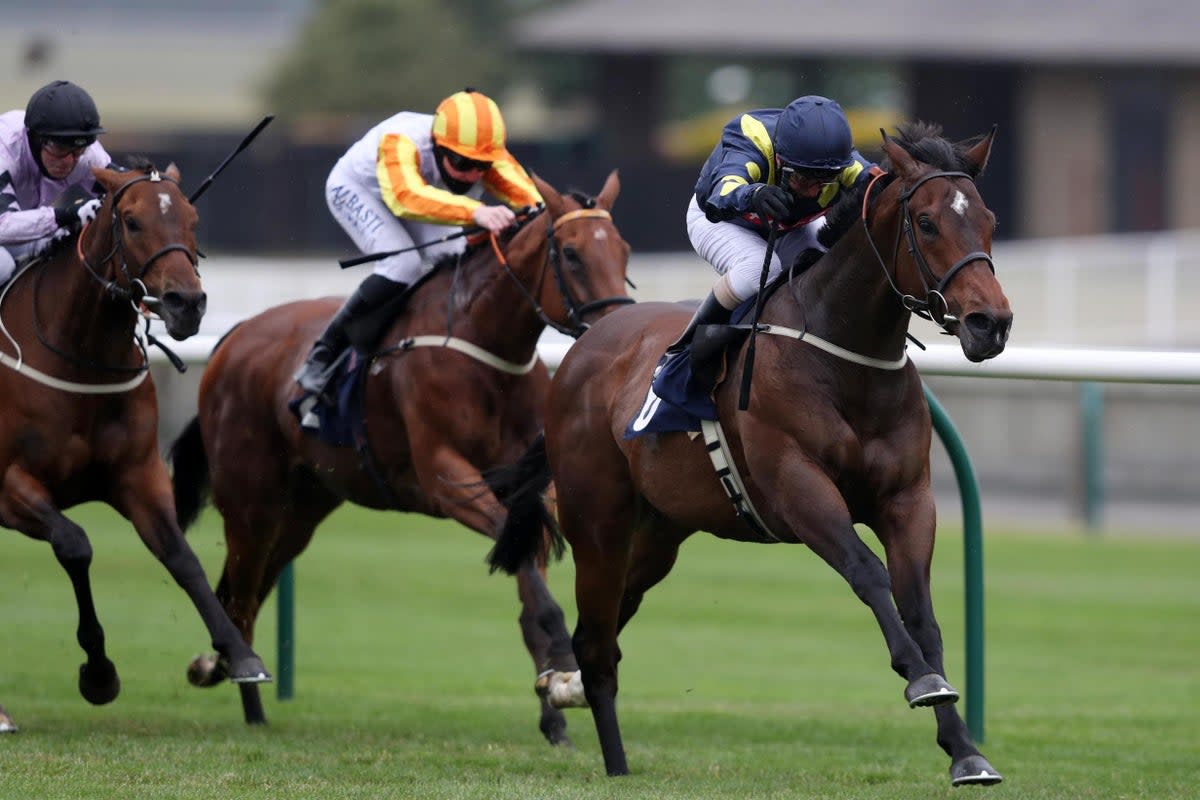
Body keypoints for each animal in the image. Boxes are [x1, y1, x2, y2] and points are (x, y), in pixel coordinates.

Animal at [0, 160, 267, 734]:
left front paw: (240, 656)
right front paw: (99, 674)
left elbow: (182, 558)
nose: (187, 304)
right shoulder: (7, 487)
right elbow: (75, 544)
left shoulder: (138, 476)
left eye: (192, 217)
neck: (78, 357)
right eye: (131, 220)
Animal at [170, 172, 633, 748]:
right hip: (249, 498)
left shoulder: (531, 494)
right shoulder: (446, 478)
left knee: (253, 586)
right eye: (570, 253)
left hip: (302, 507)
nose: (616, 331)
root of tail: (235, 337)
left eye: (623, 251)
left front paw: (554, 706)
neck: (483, 346)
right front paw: (564, 666)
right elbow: (531, 581)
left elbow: (530, 587)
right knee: (242, 593)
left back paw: (229, 676)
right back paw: (244, 690)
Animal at [487, 125, 1012, 782]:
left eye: (989, 220)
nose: (990, 323)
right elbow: (868, 572)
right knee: (596, 641)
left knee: (604, 631)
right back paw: (613, 760)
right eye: (926, 222)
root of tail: (583, 350)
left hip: (659, 533)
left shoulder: (907, 499)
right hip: (598, 522)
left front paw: (965, 750)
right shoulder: (797, 486)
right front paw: (919, 679)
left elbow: (921, 610)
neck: (844, 356)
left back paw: (570, 690)